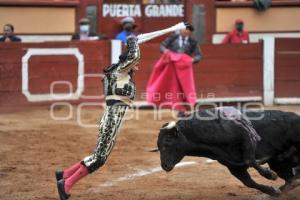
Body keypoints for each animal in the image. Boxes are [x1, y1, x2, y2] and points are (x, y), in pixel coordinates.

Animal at [157, 108, 300, 197]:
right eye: (158, 146)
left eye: (168, 141)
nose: (164, 166)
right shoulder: (233, 166)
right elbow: (249, 182)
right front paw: (273, 191)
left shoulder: (244, 135)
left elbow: (249, 159)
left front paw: (270, 175)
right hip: (279, 162)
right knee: (290, 177)